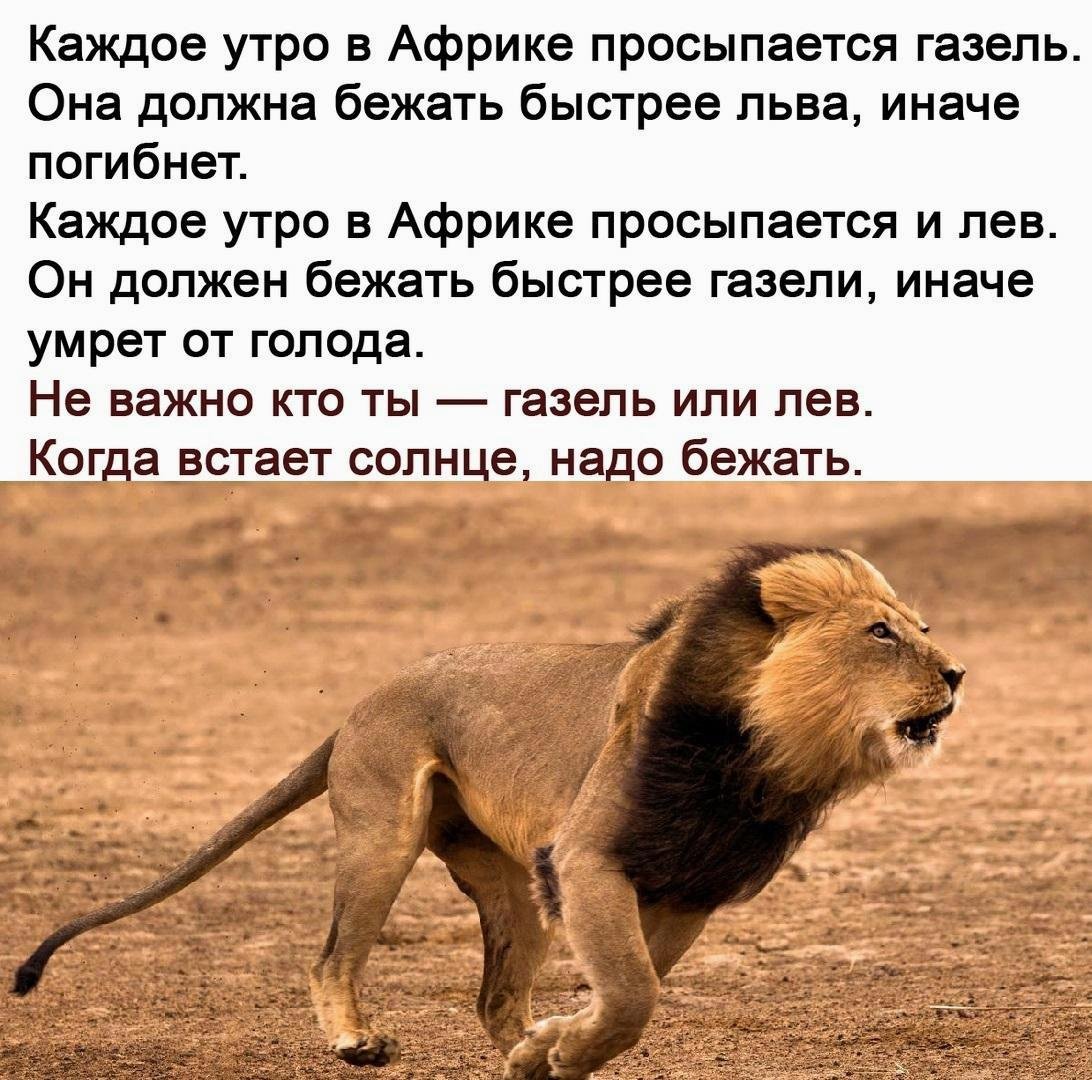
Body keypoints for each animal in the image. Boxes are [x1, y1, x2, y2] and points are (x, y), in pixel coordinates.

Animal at [13, 545, 965, 1079]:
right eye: (882, 632)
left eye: (919, 628)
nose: (957, 673)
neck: (758, 752)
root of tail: (359, 704)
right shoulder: (588, 859)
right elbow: (631, 993)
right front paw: (566, 1047)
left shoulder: (687, 887)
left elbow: (631, 990)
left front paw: (555, 1046)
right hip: (384, 832)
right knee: (331, 955)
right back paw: (357, 1042)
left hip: (511, 888)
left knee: (494, 995)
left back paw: (520, 1048)